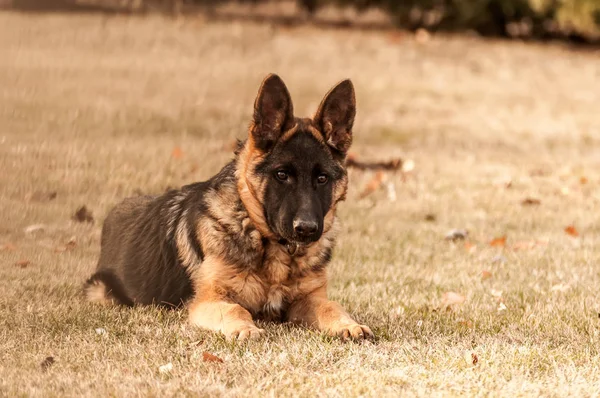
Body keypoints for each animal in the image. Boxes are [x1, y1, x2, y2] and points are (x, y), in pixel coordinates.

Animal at [84, 74, 372, 342]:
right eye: (282, 175)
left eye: (322, 178)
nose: (306, 229)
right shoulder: (208, 301)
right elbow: (236, 309)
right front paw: (245, 329)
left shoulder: (309, 299)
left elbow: (331, 307)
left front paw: (349, 324)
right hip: (102, 290)